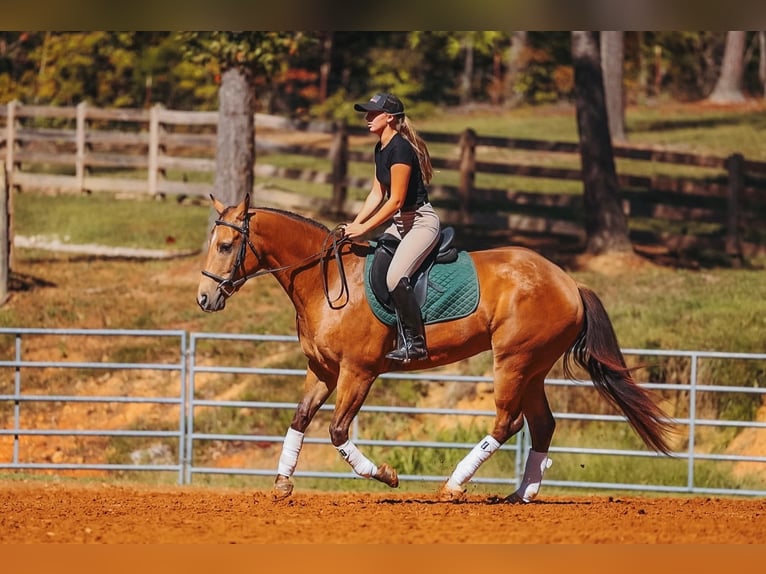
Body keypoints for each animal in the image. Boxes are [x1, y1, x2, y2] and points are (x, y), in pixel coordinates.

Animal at [196, 193, 673, 502]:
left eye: (226, 245)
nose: (204, 299)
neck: (326, 280)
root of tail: (569, 281)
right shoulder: (323, 371)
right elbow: (298, 420)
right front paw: (282, 484)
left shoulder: (358, 372)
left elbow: (337, 431)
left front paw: (385, 475)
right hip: (533, 367)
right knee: (541, 425)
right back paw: (521, 494)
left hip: (513, 361)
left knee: (508, 422)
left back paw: (454, 486)